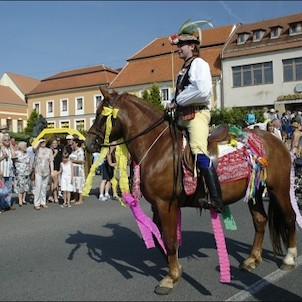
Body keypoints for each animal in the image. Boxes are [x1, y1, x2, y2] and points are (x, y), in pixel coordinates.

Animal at [84, 87, 298, 294]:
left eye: (101, 114)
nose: (88, 143)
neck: (158, 148)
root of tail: (276, 140)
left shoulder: (165, 204)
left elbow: (169, 239)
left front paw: (170, 278)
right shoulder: (157, 206)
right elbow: (160, 238)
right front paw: (176, 269)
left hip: (279, 188)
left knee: (289, 217)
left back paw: (289, 258)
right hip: (254, 192)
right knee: (260, 220)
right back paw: (252, 259)